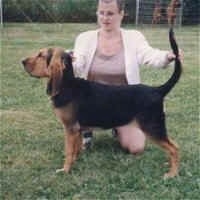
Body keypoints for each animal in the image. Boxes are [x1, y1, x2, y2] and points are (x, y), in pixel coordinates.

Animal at [22, 28, 182, 178]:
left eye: (41, 55)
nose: (22, 61)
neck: (67, 85)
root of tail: (157, 90)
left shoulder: (70, 128)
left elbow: (68, 151)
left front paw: (65, 170)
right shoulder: (77, 130)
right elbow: (75, 150)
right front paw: (75, 163)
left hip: (152, 128)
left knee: (174, 148)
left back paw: (172, 173)